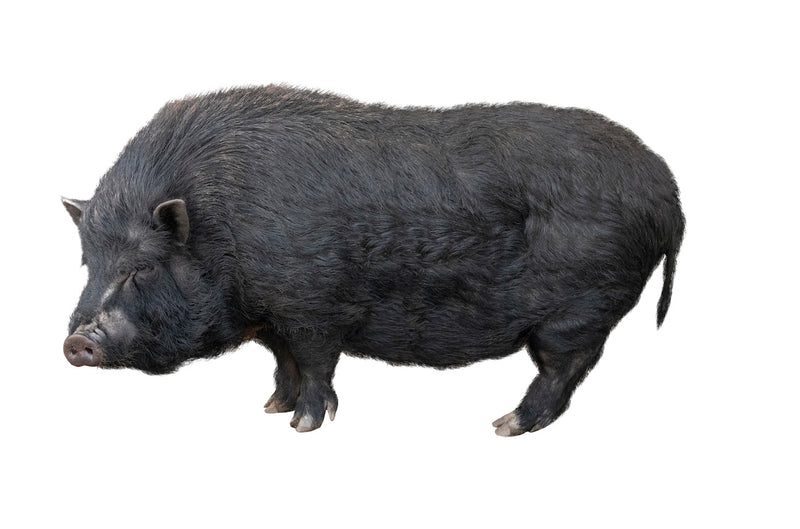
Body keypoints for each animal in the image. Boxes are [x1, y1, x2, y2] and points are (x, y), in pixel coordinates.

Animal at [62, 85, 684, 435]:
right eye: (88, 264)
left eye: (141, 267)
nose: (76, 342)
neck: (221, 228)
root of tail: (668, 192)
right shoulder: (276, 320)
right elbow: (284, 363)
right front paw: (269, 409)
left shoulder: (312, 308)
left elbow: (315, 364)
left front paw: (302, 428)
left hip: (578, 311)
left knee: (564, 370)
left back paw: (504, 427)